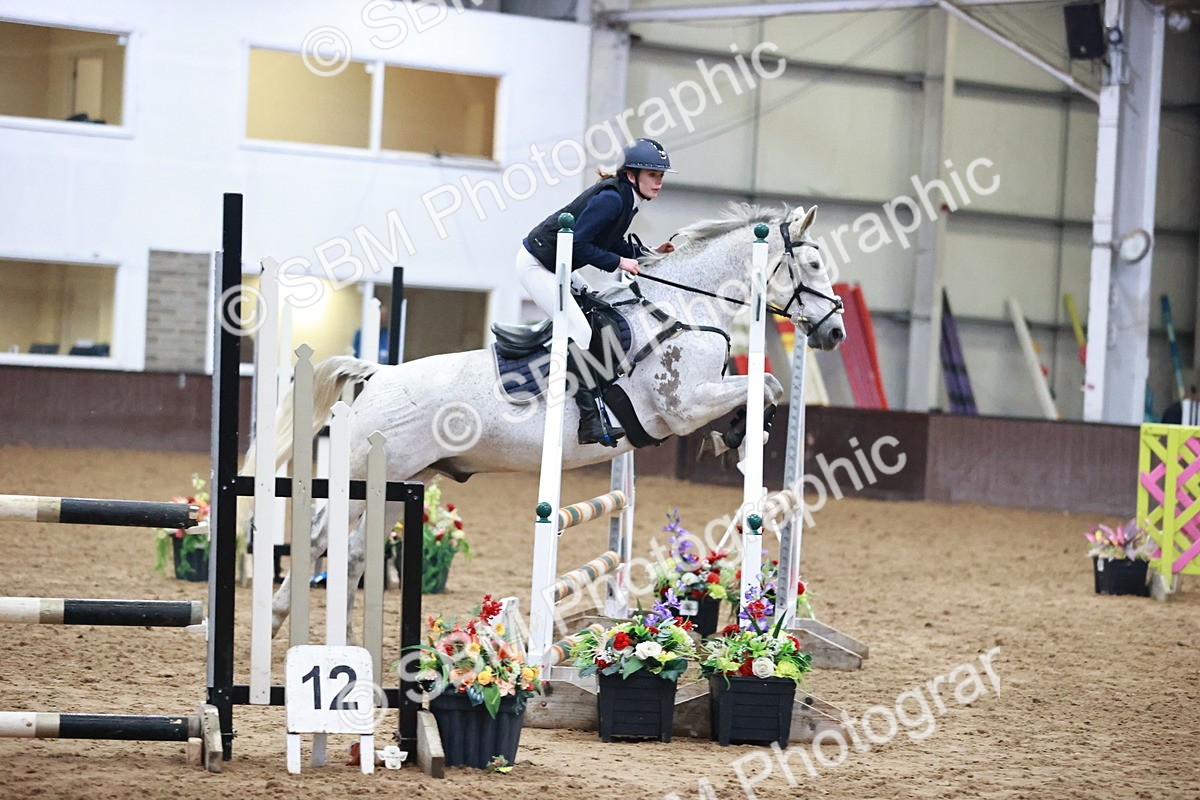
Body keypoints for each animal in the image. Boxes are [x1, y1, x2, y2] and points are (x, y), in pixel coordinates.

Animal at [250, 202, 845, 637]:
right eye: (814, 265)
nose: (835, 331)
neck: (683, 309)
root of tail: (380, 374)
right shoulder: (682, 408)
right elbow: (759, 385)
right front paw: (738, 436)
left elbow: (766, 387)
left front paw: (740, 435)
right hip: (363, 473)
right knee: (318, 536)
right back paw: (278, 624)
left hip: (405, 477)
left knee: (352, 551)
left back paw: (351, 642)